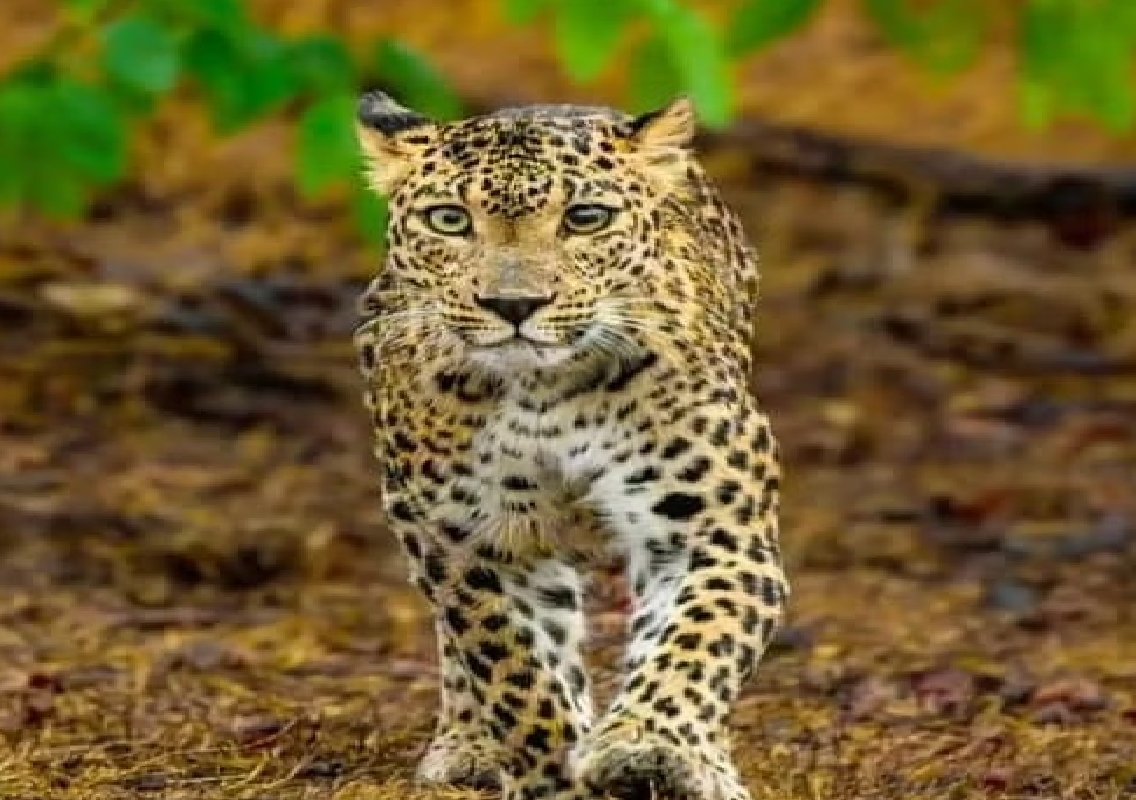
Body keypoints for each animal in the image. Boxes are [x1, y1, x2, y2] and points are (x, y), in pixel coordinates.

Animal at [353, 90, 788, 800]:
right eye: (449, 220)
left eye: (585, 218)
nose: (513, 305)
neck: (544, 394)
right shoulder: (473, 543)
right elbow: (516, 673)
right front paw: (552, 769)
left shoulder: (713, 528)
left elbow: (697, 641)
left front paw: (649, 749)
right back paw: (467, 744)